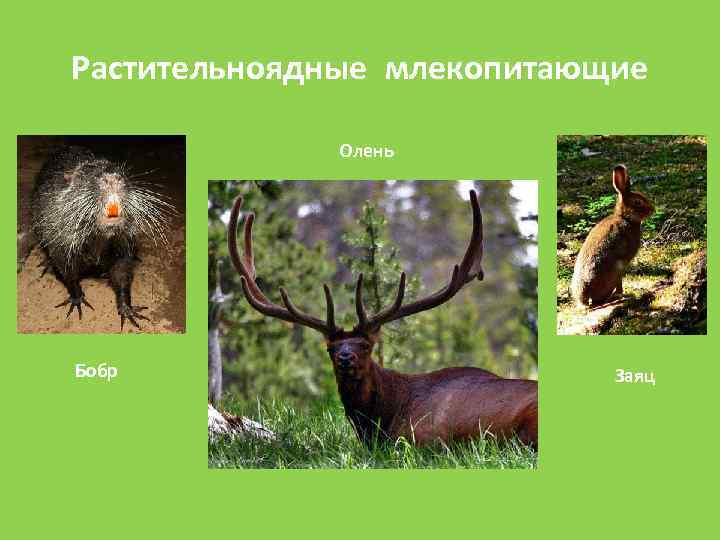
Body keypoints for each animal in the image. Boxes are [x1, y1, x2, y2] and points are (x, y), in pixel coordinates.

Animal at [571, 164, 654, 307]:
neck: (625, 218)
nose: (652, 209)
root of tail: (584, 295)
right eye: (638, 202)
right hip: (616, 269)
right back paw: (618, 296)